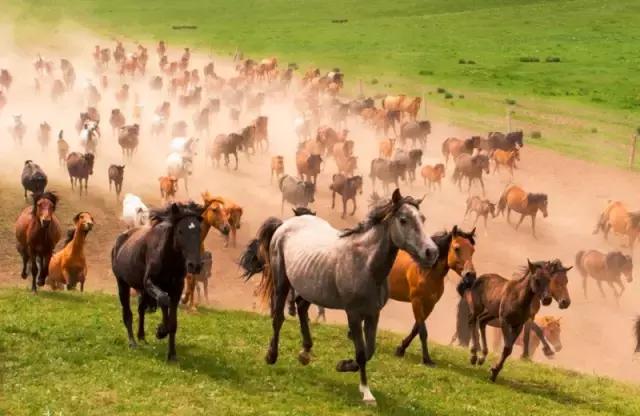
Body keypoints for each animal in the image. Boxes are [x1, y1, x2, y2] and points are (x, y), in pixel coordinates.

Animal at [111, 202, 204, 360]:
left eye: (199, 230)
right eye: (180, 231)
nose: (195, 265)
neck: (168, 257)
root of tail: (120, 241)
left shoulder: (176, 289)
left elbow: (172, 321)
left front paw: (172, 355)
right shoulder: (149, 283)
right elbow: (163, 300)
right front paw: (160, 331)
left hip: (142, 290)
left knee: (141, 309)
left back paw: (142, 336)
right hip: (122, 284)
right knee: (128, 314)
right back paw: (132, 342)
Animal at [240, 190, 440, 404]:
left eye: (422, 219)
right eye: (403, 220)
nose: (431, 252)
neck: (366, 264)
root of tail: (285, 224)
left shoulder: (373, 313)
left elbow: (369, 350)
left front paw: (344, 365)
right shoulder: (353, 313)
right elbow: (361, 352)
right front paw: (366, 393)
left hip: (311, 287)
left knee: (301, 308)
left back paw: (305, 353)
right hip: (282, 282)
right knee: (278, 318)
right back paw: (271, 356)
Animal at [390, 226, 476, 366]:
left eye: (473, 250)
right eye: (456, 248)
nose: (471, 276)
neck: (426, 271)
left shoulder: (429, 305)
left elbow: (416, 329)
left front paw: (400, 349)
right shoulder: (417, 302)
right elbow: (423, 331)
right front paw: (427, 359)